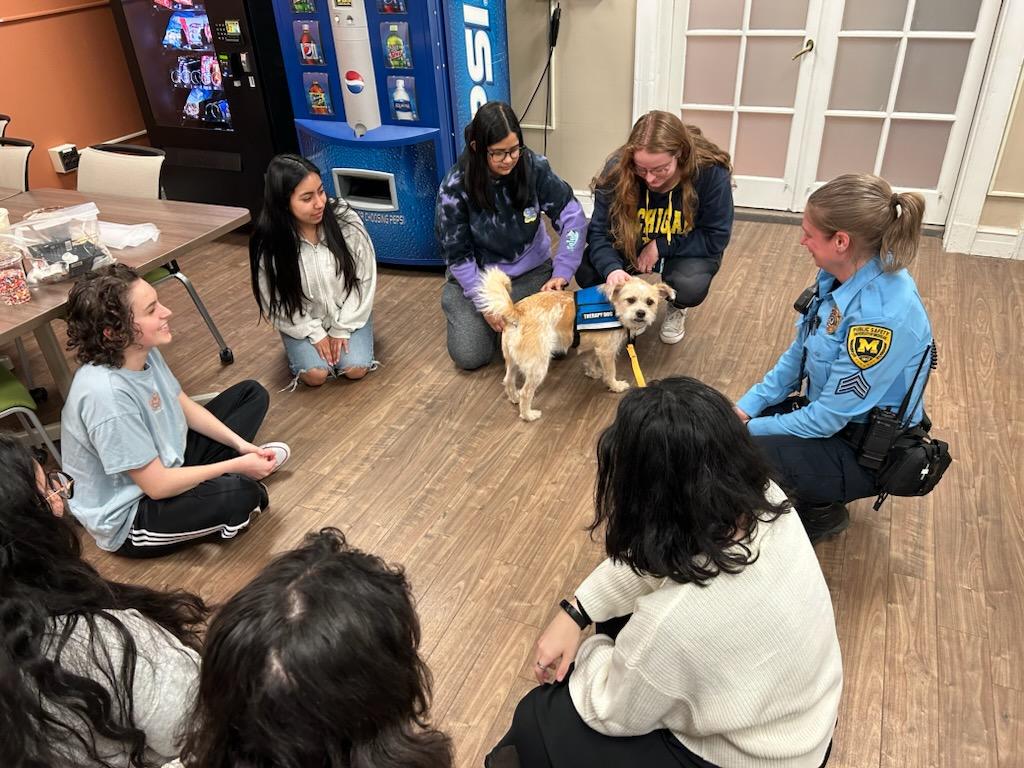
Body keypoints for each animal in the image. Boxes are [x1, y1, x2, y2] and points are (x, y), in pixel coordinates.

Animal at [477, 268, 675, 421]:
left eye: (650, 302)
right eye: (631, 300)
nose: (641, 313)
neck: (614, 306)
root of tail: (517, 311)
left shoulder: (595, 347)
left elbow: (590, 360)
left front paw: (593, 372)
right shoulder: (607, 351)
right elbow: (611, 372)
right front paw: (615, 385)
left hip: (512, 361)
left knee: (508, 380)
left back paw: (514, 398)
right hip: (538, 367)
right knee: (526, 392)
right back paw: (528, 415)